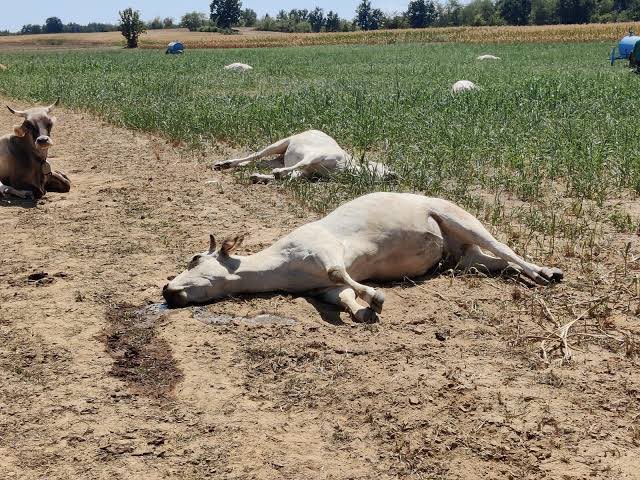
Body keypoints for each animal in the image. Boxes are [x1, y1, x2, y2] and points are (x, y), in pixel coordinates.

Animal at [163, 192, 563, 321]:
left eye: (195, 258)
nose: (167, 291)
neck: (279, 266)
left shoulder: (325, 249)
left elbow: (340, 274)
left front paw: (376, 297)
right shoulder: (319, 290)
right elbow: (340, 295)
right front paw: (361, 310)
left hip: (460, 218)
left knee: (506, 249)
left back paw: (547, 272)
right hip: (464, 257)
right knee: (498, 262)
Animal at [213, 129, 394, 183]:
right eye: (380, 166)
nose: (394, 175)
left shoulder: (308, 173)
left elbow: (293, 176)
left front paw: (260, 177)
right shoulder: (314, 156)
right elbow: (299, 165)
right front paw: (277, 174)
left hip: (279, 158)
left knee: (259, 163)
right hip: (280, 144)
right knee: (255, 155)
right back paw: (224, 164)